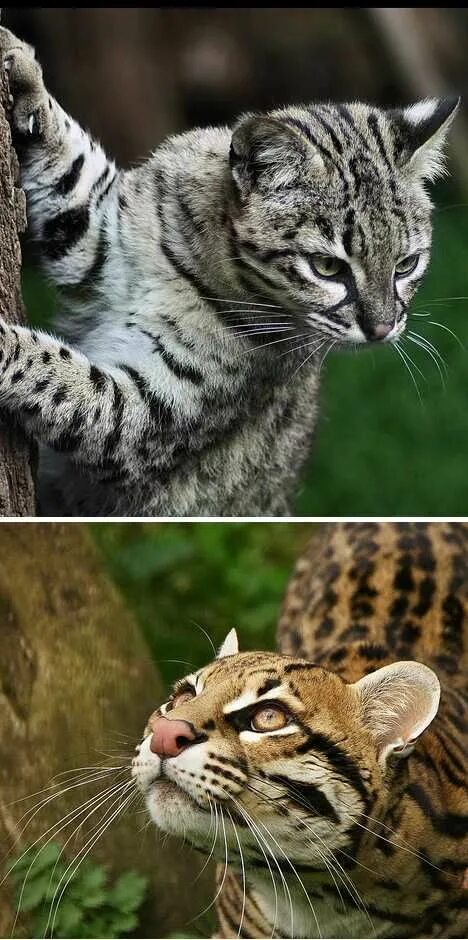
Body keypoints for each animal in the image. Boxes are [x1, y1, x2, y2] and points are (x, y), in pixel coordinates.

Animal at [0, 27, 460, 516]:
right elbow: (71, 172)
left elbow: (61, 376)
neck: (197, 261)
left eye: (406, 264)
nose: (382, 329)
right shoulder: (103, 241)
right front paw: (22, 70)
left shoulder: (148, 417)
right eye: (327, 267)